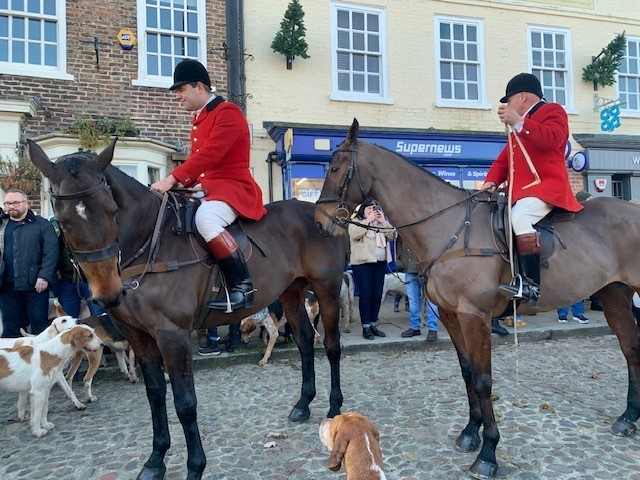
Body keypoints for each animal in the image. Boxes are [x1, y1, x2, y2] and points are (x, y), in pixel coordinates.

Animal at [28, 140, 350, 480]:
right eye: (62, 220)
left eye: (112, 211)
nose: (108, 293)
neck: (149, 242)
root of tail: (323, 216)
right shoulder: (139, 336)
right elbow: (155, 394)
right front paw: (155, 460)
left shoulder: (172, 336)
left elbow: (184, 402)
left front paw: (195, 466)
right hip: (291, 292)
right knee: (304, 341)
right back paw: (303, 404)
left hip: (326, 291)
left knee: (331, 345)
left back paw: (334, 408)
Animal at [316, 118, 640, 478]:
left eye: (334, 168)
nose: (320, 223)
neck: (447, 227)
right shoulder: (450, 314)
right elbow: (468, 371)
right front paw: (471, 432)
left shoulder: (475, 315)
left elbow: (484, 380)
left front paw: (488, 453)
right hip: (614, 295)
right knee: (630, 347)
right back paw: (628, 418)